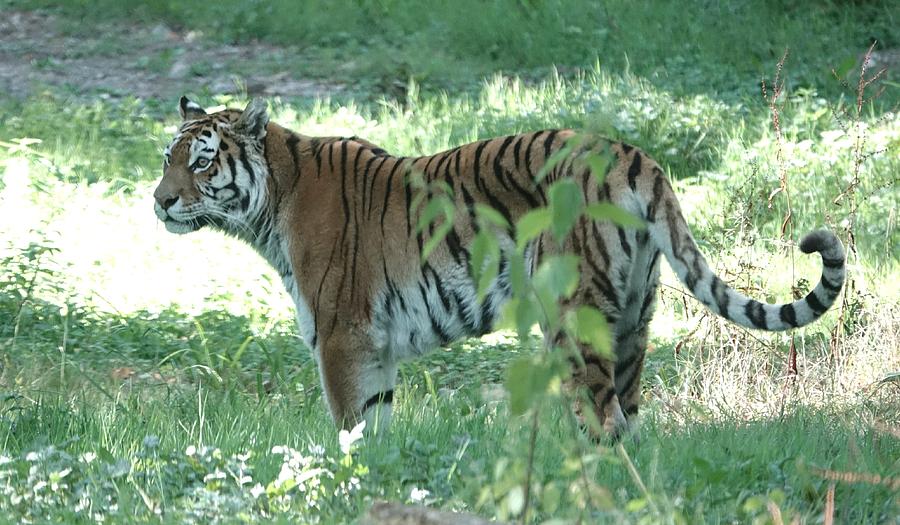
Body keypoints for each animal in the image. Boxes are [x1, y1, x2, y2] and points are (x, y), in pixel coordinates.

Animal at [151, 97, 848, 438]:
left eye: (203, 161)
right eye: (168, 158)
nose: (159, 201)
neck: (273, 198)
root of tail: (634, 155)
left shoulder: (343, 337)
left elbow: (349, 429)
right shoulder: (374, 349)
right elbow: (377, 429)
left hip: (572, 318)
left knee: (604, 417)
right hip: (632, 317)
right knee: (631, 416)